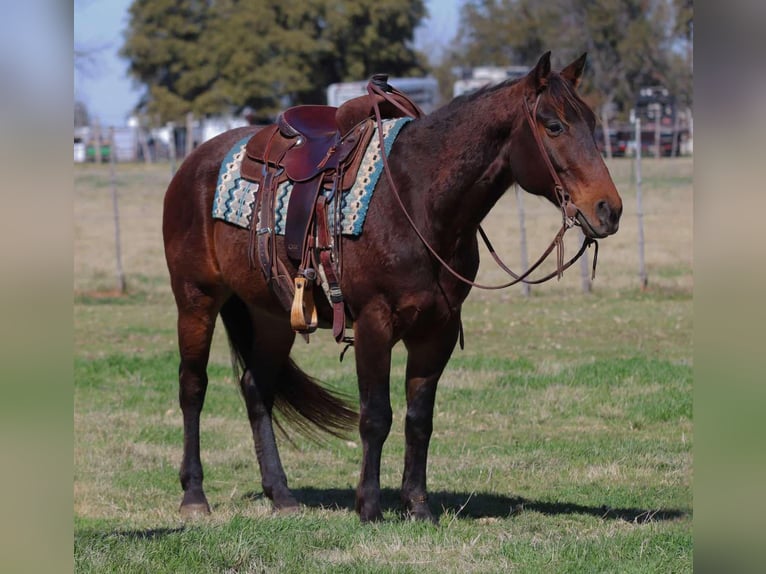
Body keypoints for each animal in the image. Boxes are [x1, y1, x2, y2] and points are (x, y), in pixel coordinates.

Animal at [162, 52, 622, 523]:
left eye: (591, 121)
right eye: (554, 125)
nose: (609, 209)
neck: (418, 200)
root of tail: (193, 161)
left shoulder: (437, 330)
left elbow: (419, 419)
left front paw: (417, 505)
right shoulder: (374, 324)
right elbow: (376, 416)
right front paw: (369, 506)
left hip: (271, 314)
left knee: (257, 389)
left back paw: (282, 494)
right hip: (196, 299)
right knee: (192, 387)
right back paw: (194, 495)